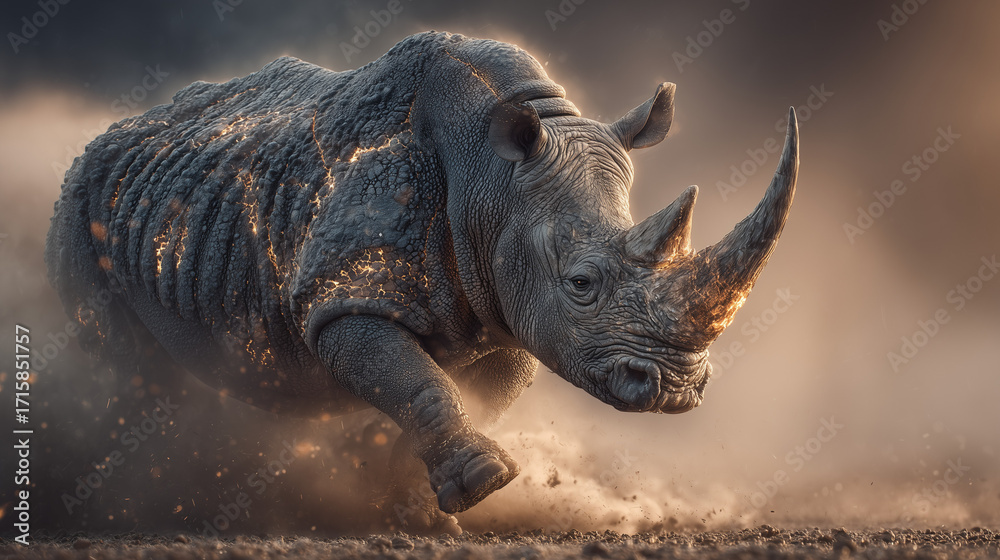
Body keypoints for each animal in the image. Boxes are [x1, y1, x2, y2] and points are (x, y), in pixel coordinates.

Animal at [45, 31, 798, 525]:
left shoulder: (510, 311)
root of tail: (113, 133)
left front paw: (412, 505)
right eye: (582, 283)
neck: (490, 182)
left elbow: (461, 394)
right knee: (120, 366)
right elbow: (414, 379)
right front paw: (482, 483)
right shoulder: (343, 301)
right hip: (78, 204)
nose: (673, 388)